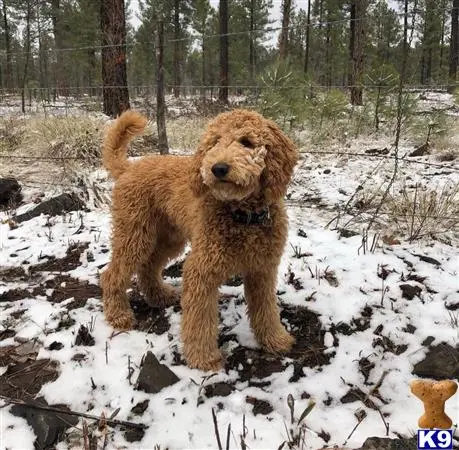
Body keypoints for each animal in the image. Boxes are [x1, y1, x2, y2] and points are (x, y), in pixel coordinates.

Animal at [101, 108, 298, 370]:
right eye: (214, 142)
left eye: (247, 142)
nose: (218, 168)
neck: (242, 215)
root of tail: (128, 167)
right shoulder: (202, 269)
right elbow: (200, 319)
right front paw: (204, 358)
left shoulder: (262, 270)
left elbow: (266, 309)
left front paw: (275, 339)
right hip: (134, 233)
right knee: (112, 274)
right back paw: (119, 315)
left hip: (169, 237)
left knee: (148, 267)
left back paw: (159, 295)